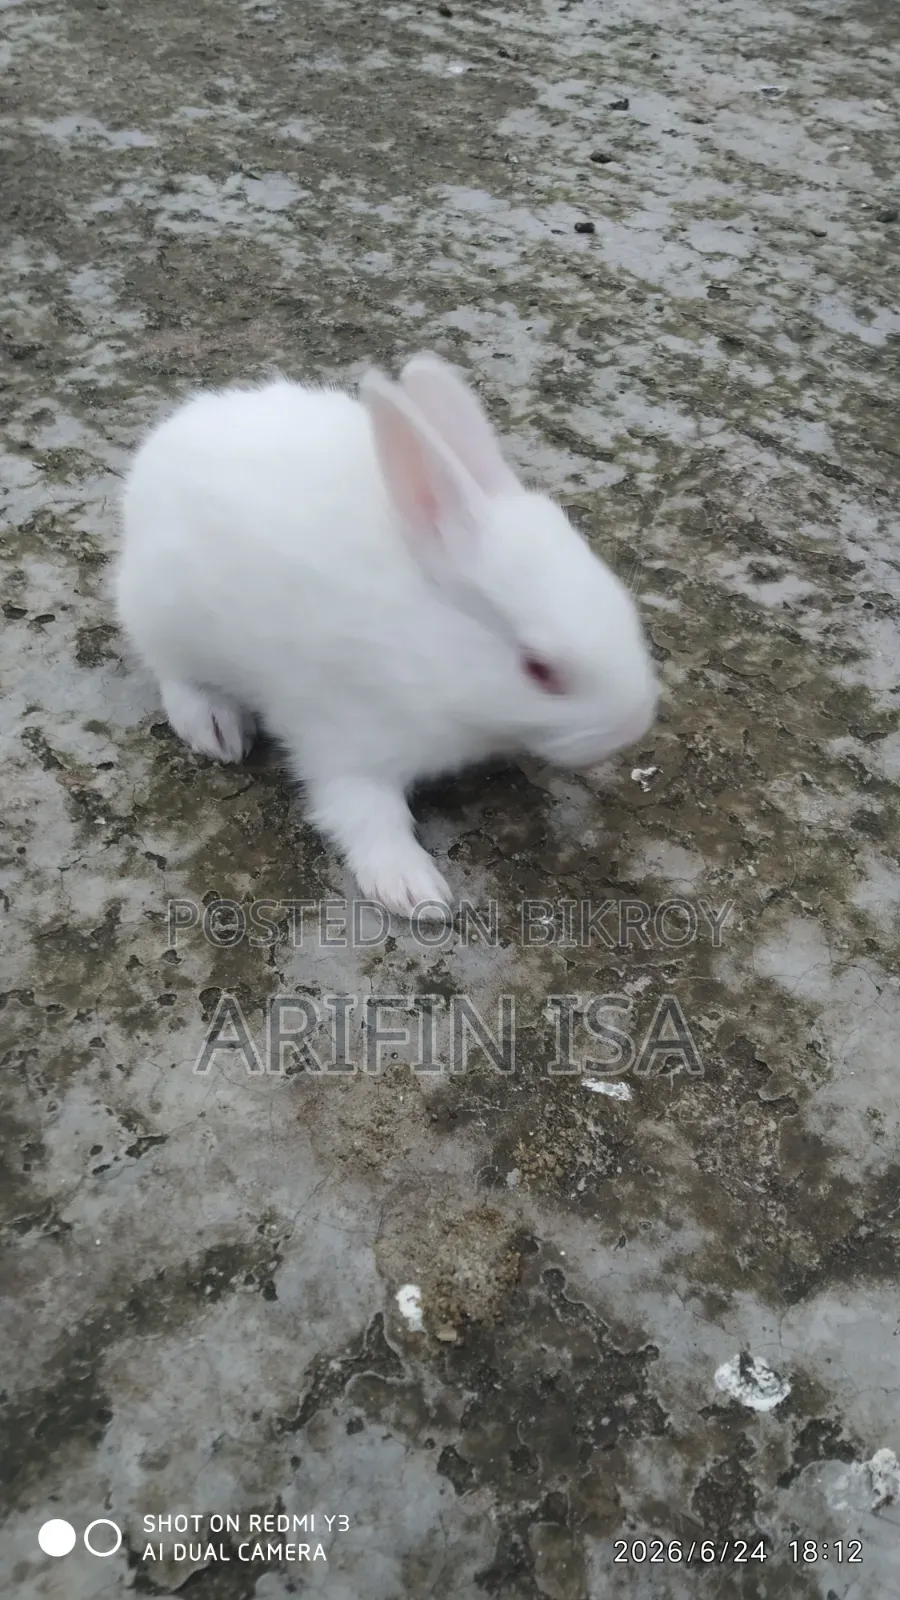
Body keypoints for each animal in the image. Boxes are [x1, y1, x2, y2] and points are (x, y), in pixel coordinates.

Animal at [114, 352, 660, 918]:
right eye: (539, 670)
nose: (632, 725)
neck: (424, 648)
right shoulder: (345, 738)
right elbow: (363, 812)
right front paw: (415, 891)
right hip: (163, 616)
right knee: (172, 673)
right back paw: (215, 728)